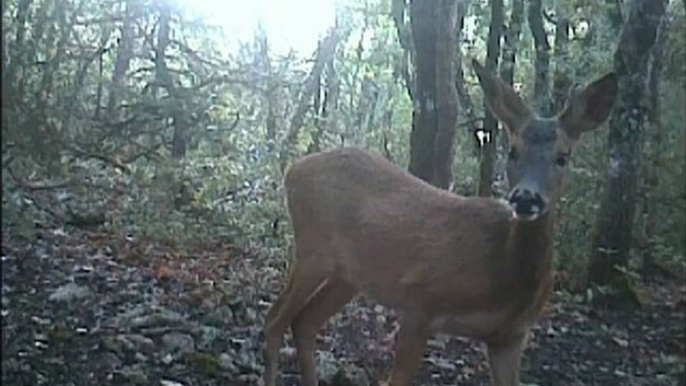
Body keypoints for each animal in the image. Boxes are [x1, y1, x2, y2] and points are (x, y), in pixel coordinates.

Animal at [264, 60, 620, 386]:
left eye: (563, 157)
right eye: (513, 151)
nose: (525, 198)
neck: (502, 278)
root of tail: (293, 169)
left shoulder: (510, 336)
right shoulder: (420, 300)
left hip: (348, 276)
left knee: (305, 322)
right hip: (312, 249)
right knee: (276, 318)